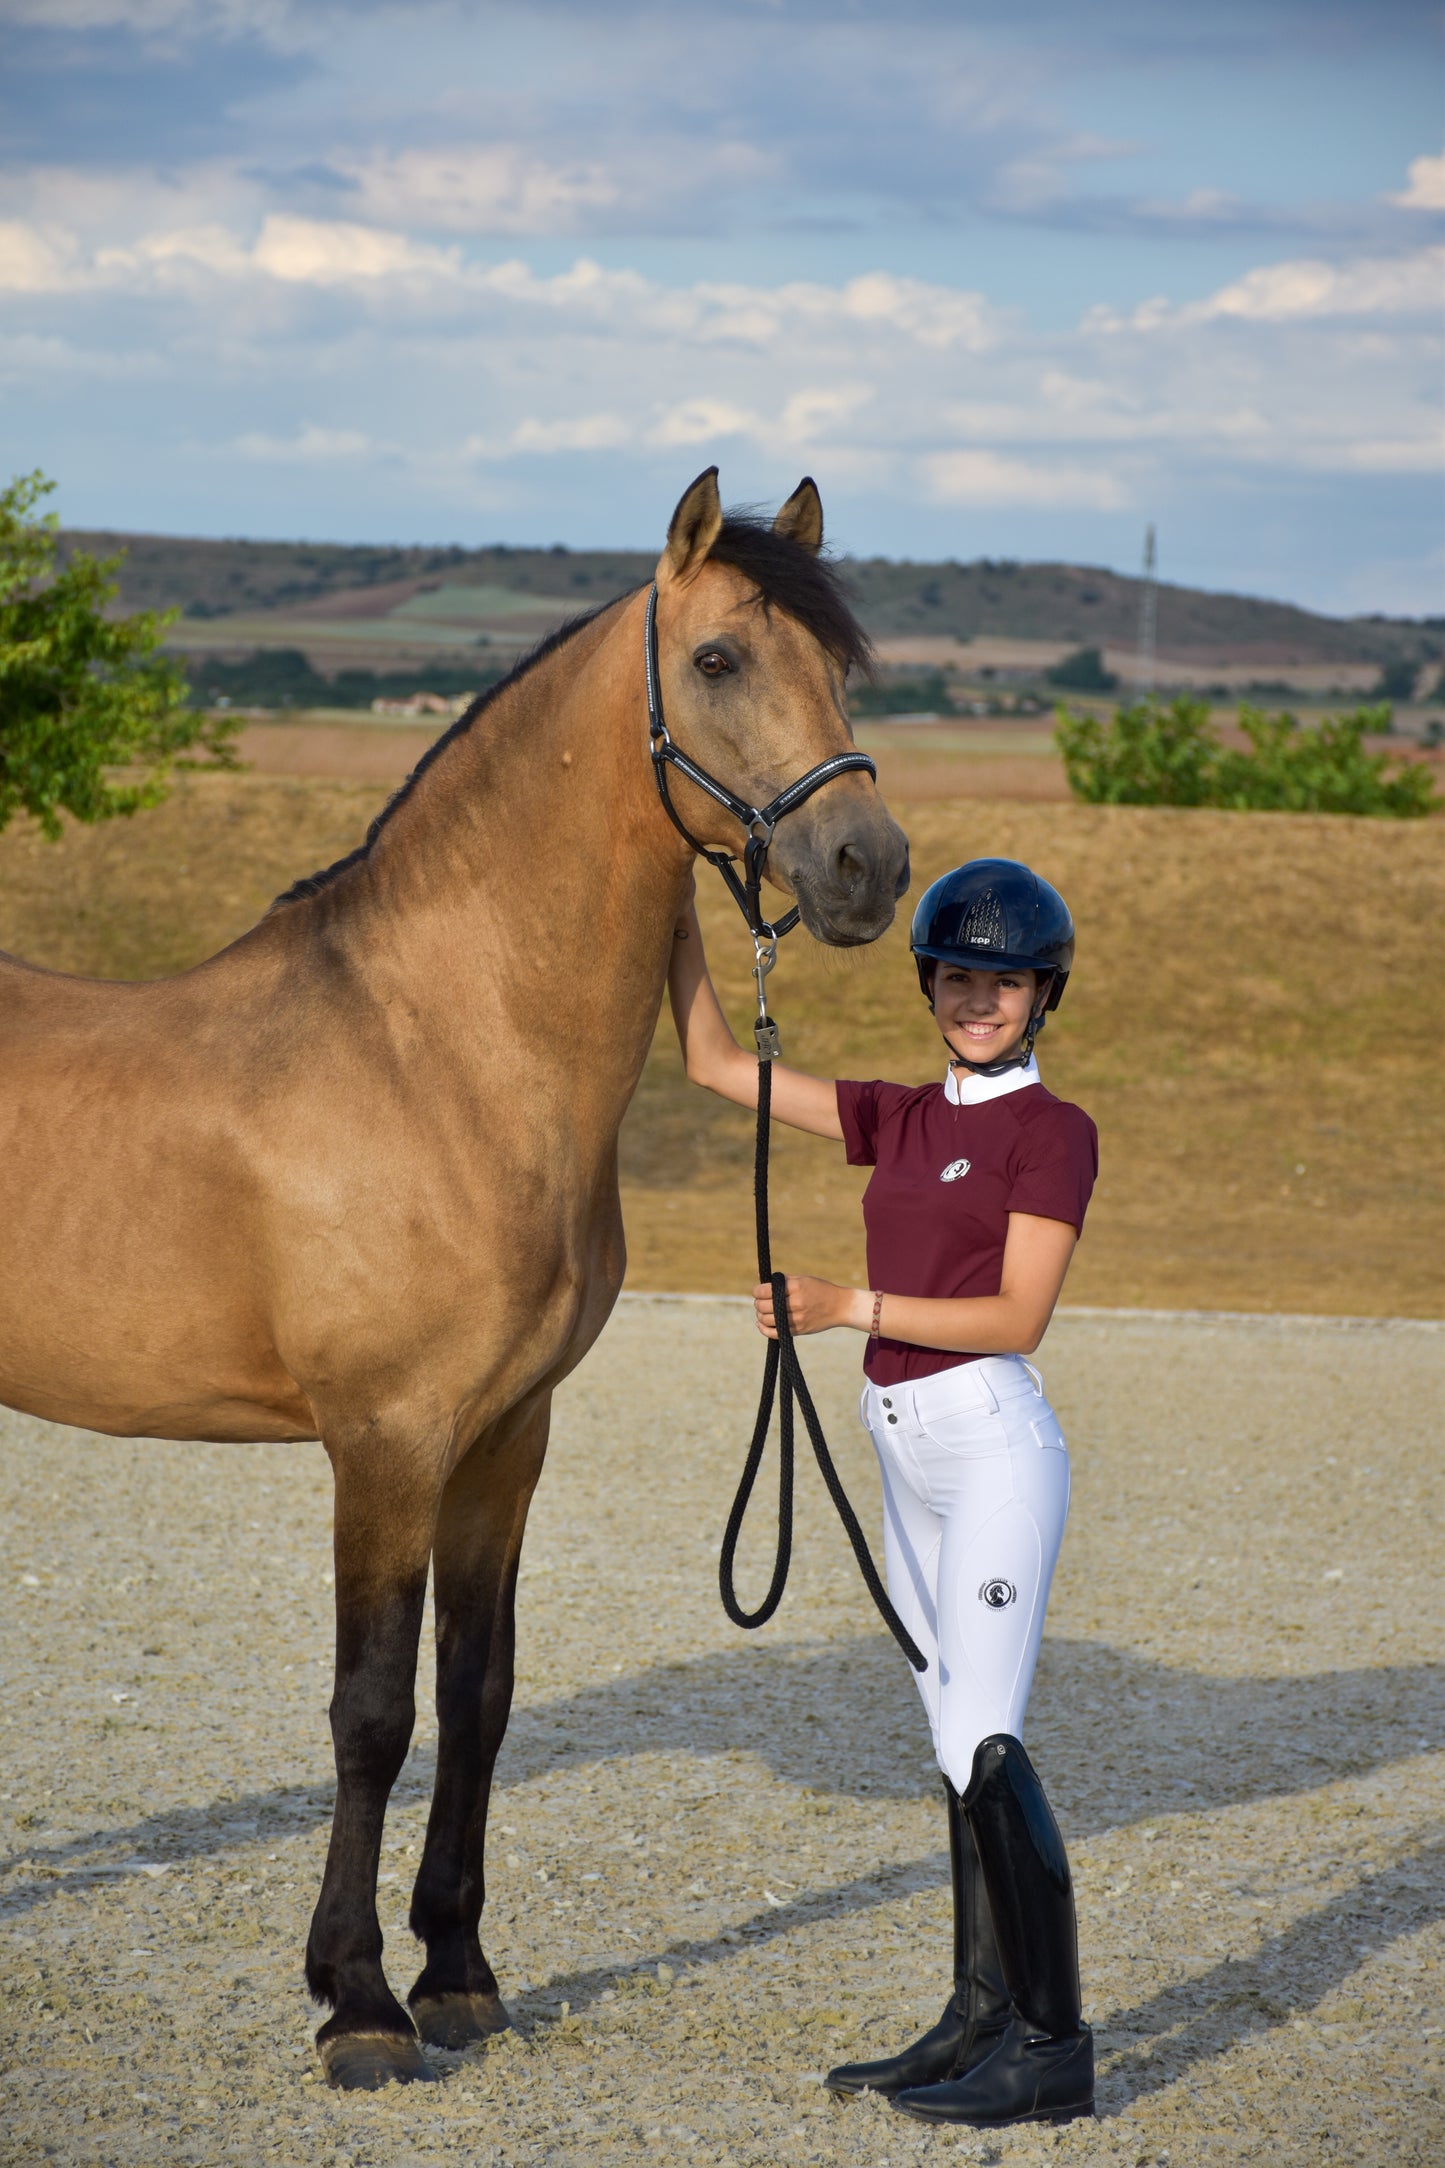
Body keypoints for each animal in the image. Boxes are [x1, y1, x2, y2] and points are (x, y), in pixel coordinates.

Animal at [0, 466, 909, 2089]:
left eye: (843, 665)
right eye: (720, 658)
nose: (868, 868)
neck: (440, 1056)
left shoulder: (503, 1439)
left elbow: (477, 1696)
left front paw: (462, 1975)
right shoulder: (386, 1442)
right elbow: (372, 1709)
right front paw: (359, 2004)